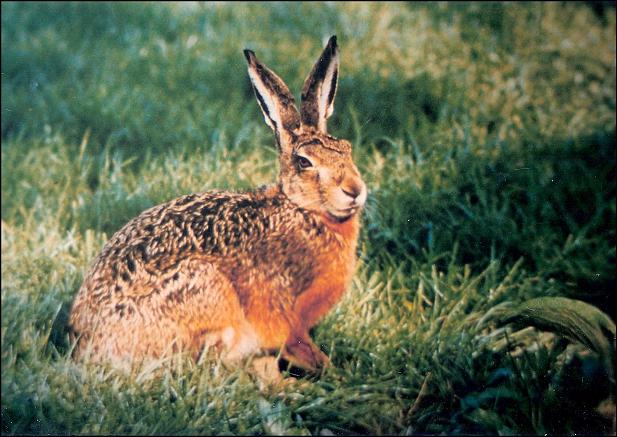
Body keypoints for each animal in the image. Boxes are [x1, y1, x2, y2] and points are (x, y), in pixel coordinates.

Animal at [68, 35, 367, 372]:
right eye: (304, 162)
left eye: (347, 149)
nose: (355, 190)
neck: (302, 210)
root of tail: (86, 345)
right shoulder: (285, 310)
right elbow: (297, 343)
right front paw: (332, 370)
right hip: (208, 289)